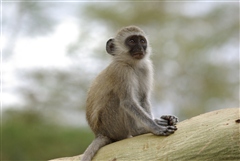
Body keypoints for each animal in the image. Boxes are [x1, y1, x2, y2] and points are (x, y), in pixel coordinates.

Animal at [81, 26, 177, 161]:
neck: (132, 65)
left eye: (142, 41)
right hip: (112, 125)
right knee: (120, 101)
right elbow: (128, 102)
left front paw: (160, 120)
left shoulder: (146, 67)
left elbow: (143, 98)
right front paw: (156, 128)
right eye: (131, 41)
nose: (140, 48)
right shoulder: (121, 71)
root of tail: (100, 133)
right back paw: (138, 130)